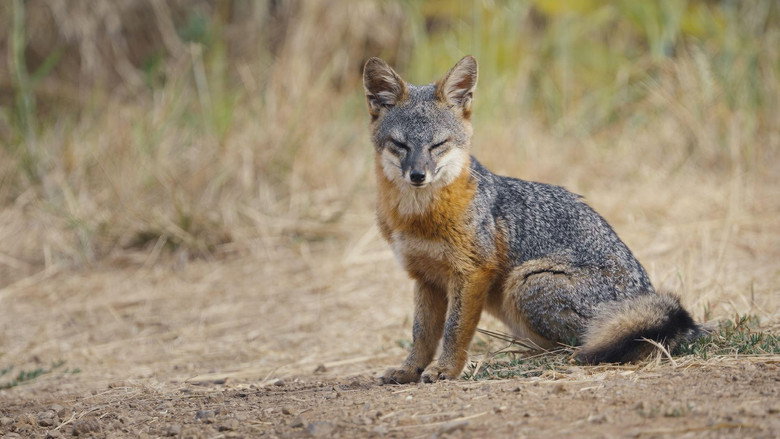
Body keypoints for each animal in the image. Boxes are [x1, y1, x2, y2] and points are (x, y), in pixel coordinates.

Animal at [363, 55, 702, 384]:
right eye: (400, 144)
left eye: (438, 145)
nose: (418, 175)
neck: (419, 217)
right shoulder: (426, 277)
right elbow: (421, 334)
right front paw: (409, 370)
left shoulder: (472, 272)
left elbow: (454, 330)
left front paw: (446, 369)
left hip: (526, 282)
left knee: (581, 343)